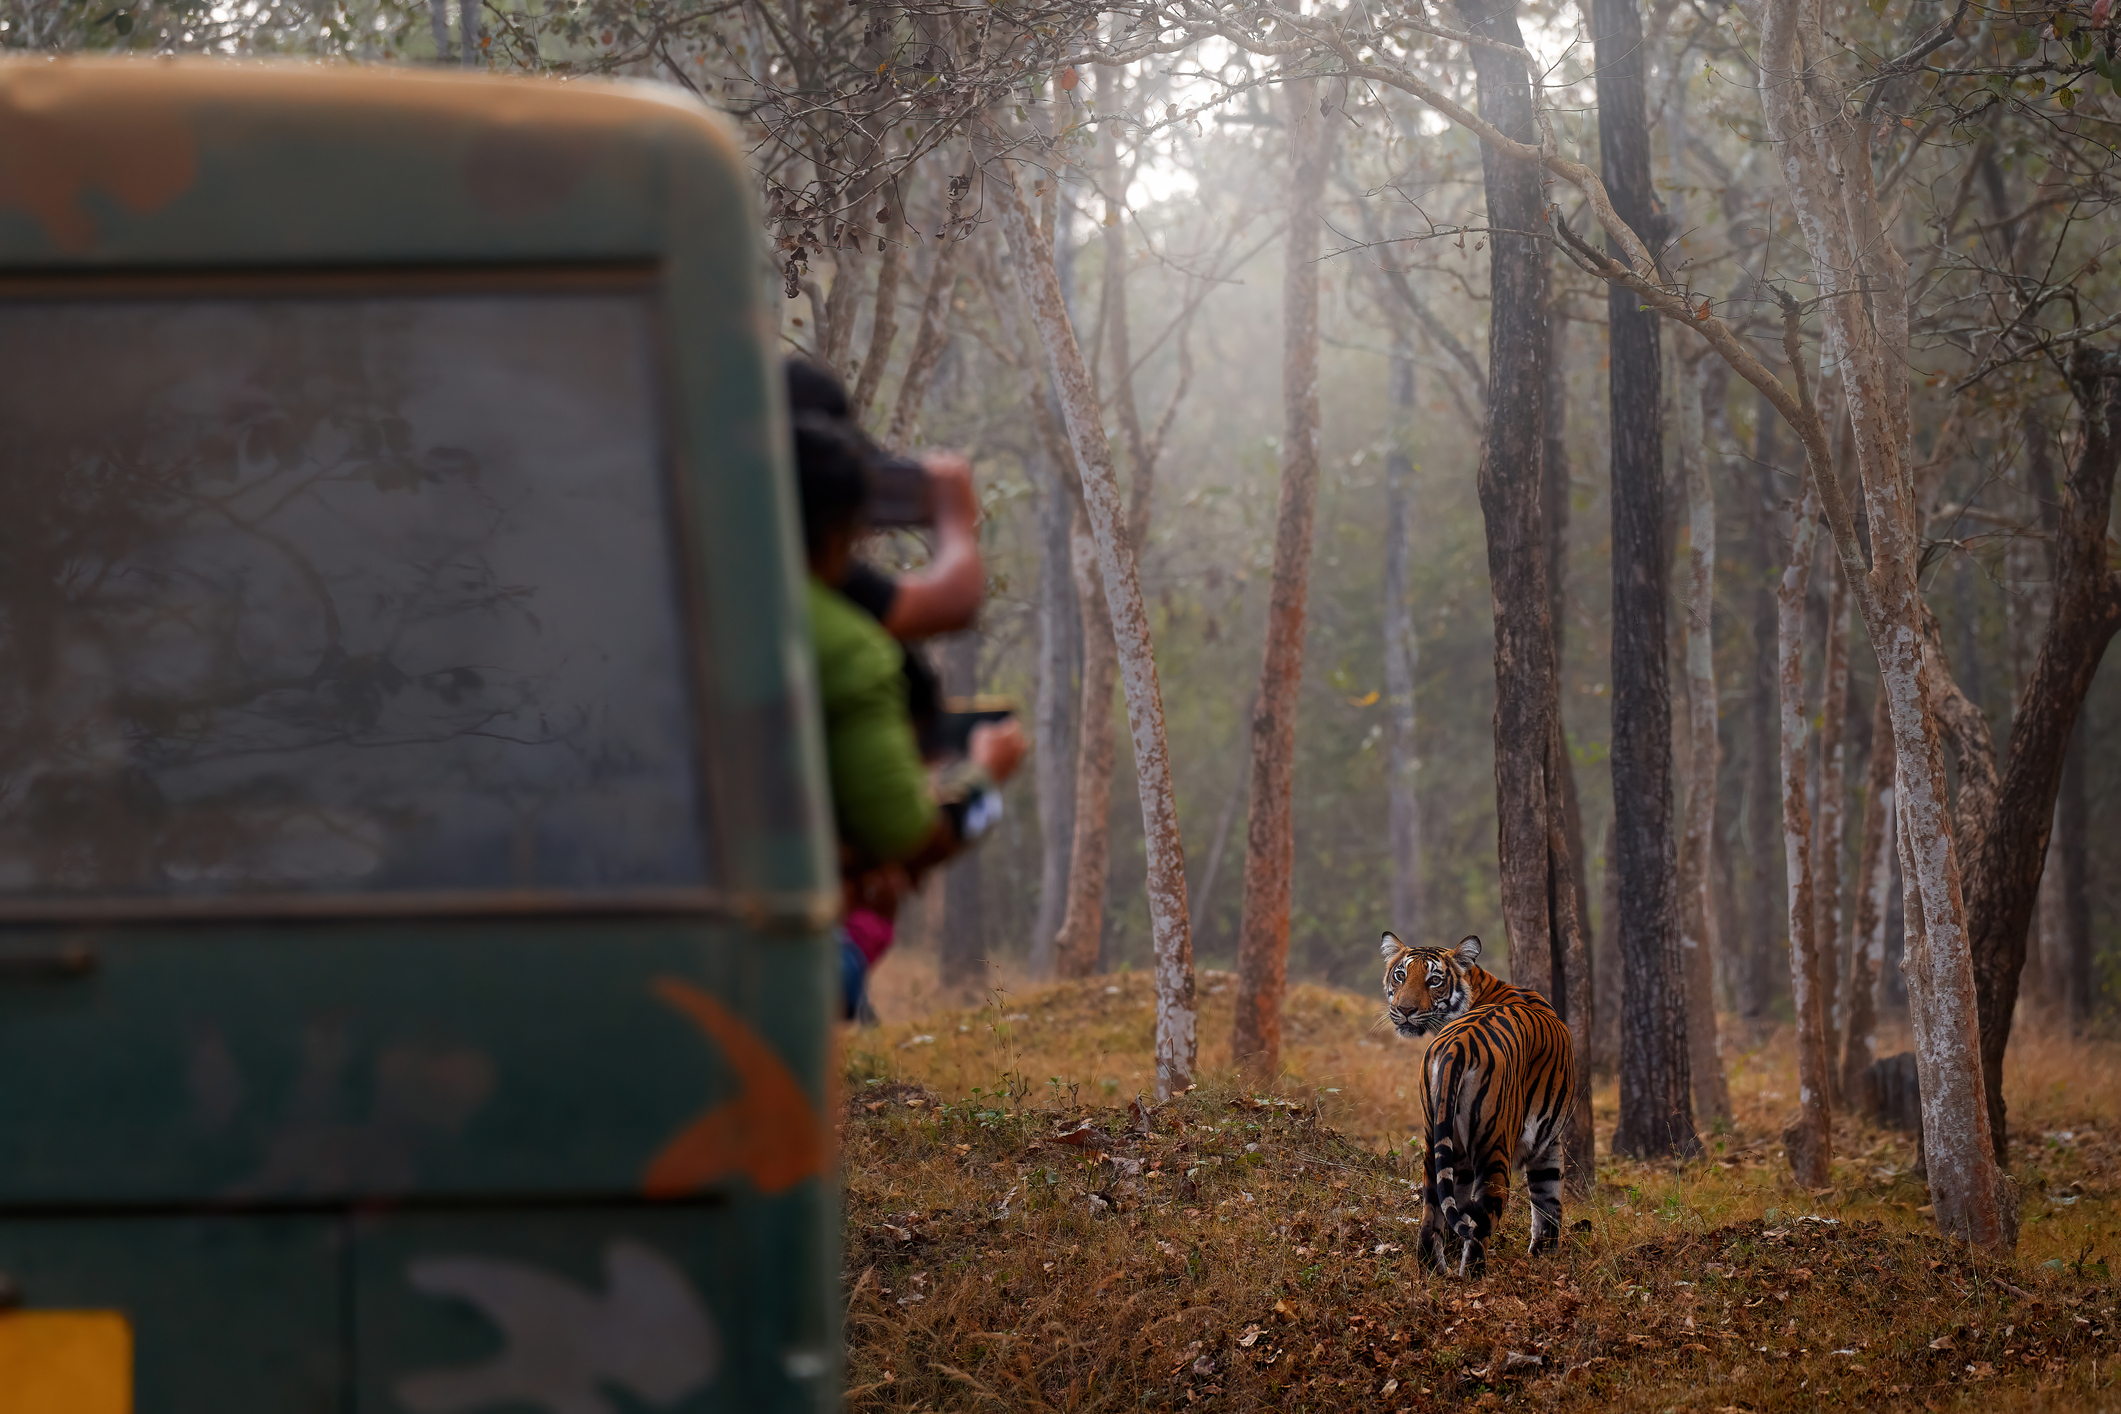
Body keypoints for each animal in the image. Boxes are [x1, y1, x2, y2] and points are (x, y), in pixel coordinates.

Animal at [1379, 930, 1572, 1277]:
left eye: (1434, 980)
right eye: (1400, 975)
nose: (1405, 1010)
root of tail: (1459, 1044)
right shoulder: (1545, 1139)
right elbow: (1547, 1199)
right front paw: (1544, 1257)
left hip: (1433, 1138)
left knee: (1431, 1210)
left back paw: (1432, 1270)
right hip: (1494, 1145)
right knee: (1483, 1219)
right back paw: (1474, 1276)